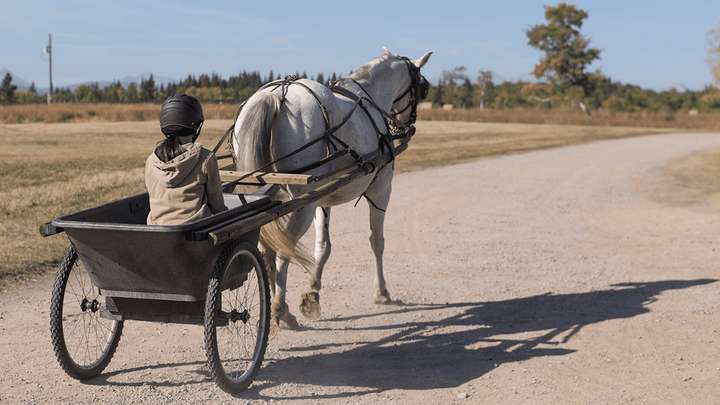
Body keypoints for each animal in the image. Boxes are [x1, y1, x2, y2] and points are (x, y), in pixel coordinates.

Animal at [233, 47, 430, 328]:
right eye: (421, 87)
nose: (403, 126)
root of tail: (276, 95)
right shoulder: (381, 189)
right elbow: (377, 241)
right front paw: (382, 292)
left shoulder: (322, 200)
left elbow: (323, 247)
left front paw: (313, 293)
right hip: (302, 204)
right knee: (283, 250)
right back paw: (282, 310)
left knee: (268, 249)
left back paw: (273, 304)